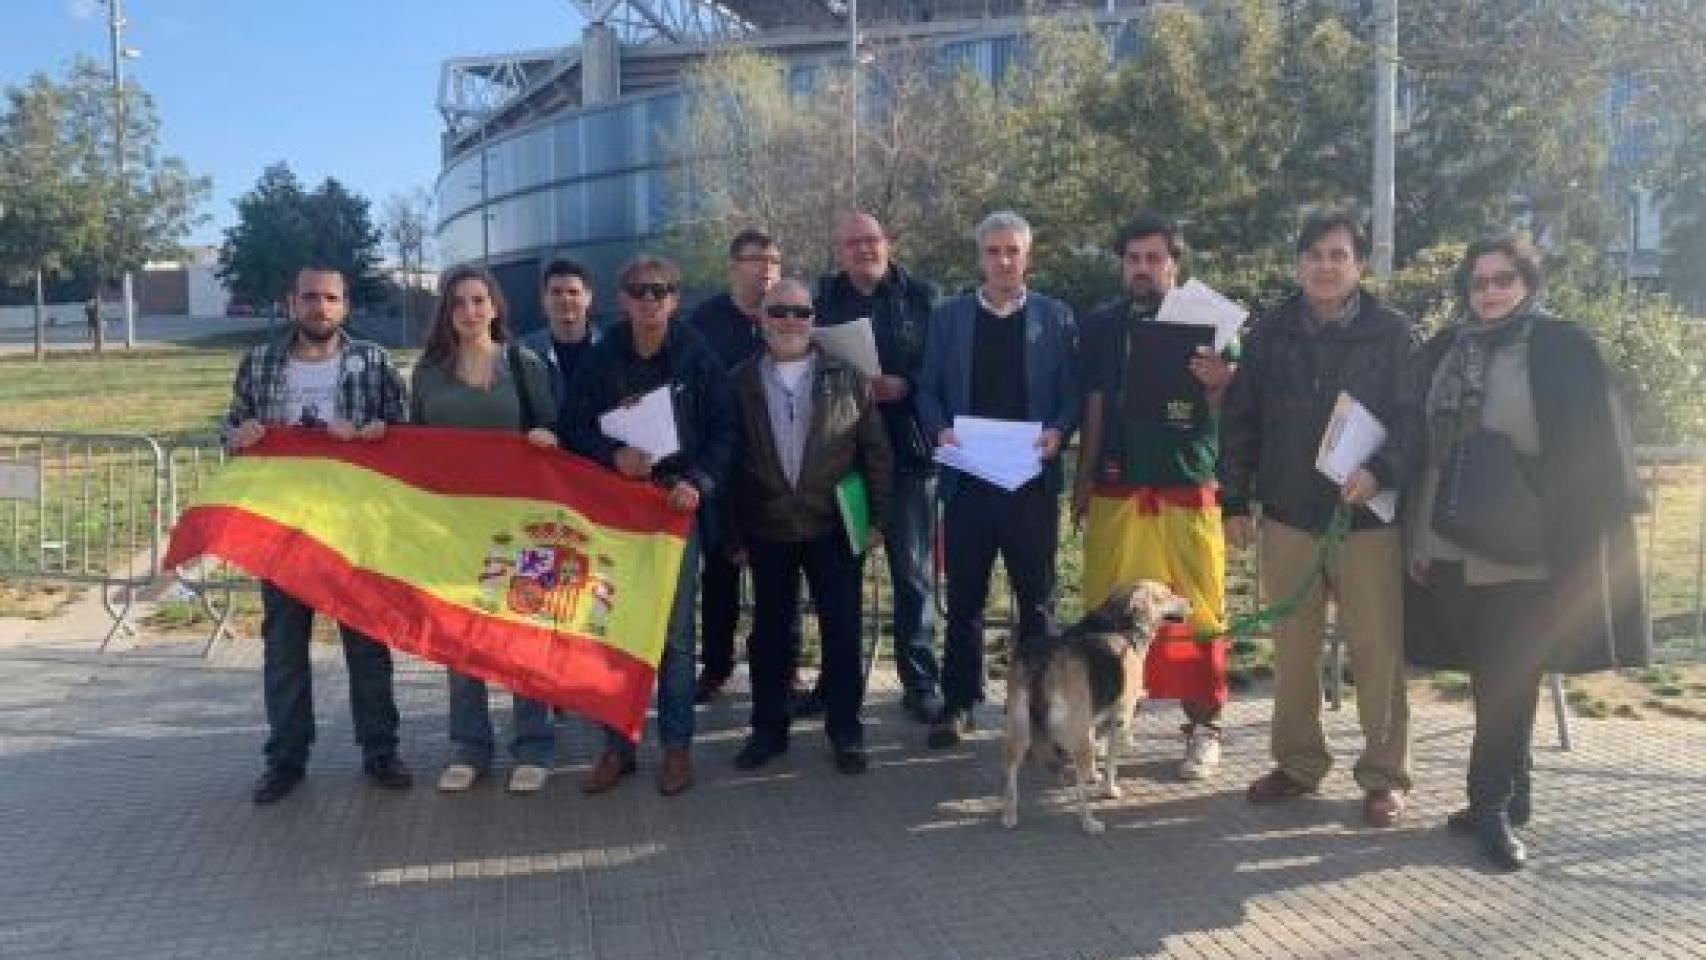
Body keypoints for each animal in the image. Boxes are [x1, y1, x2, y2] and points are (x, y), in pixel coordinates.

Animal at [996, 579, 1187, 835]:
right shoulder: (1121, 718)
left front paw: (1096, 775)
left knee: (1010, 772)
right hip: (1077, 741)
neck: (1119, 624)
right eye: (1165, 595)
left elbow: (1099, 753)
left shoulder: (1091, 720)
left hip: (1019, 731)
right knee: (1079, 789)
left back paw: (1009, 816)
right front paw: (1109, 789)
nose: (1191, 602)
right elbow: (1111, 763)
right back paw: (1089, 822)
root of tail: (1043, 663)